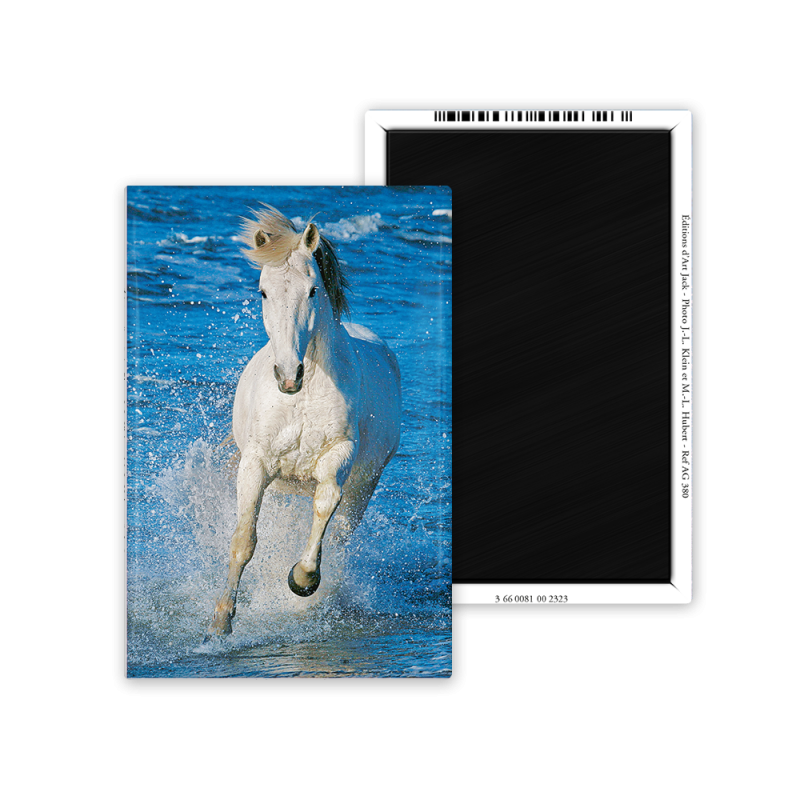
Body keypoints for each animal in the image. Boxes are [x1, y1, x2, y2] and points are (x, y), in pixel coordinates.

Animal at [206, 204, 402, 638]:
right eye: (263, 291)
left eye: (312, 290)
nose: (287, 375)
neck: (303, 395)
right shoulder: (256, 464)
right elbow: (244, 540)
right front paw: (221, 622)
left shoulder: (339, 456)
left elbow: (325, 506)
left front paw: (302, 580)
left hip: (364, 484)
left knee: (341, 531)